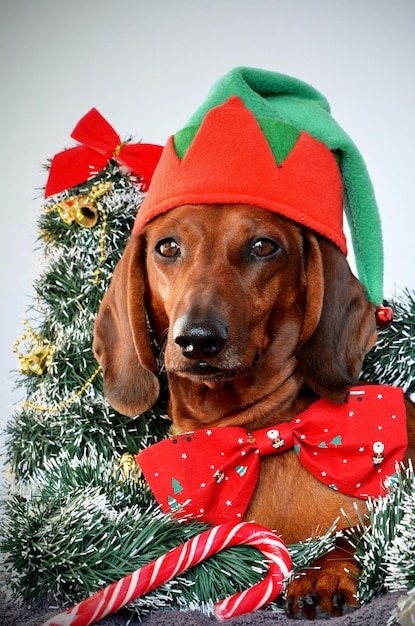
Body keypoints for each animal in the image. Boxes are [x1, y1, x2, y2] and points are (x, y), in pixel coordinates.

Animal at [94, 202, 415, 616]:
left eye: (263, 246)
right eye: (167, 247)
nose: (198, 339)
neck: (257, 432)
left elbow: (351, 534)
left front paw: (323, 573)